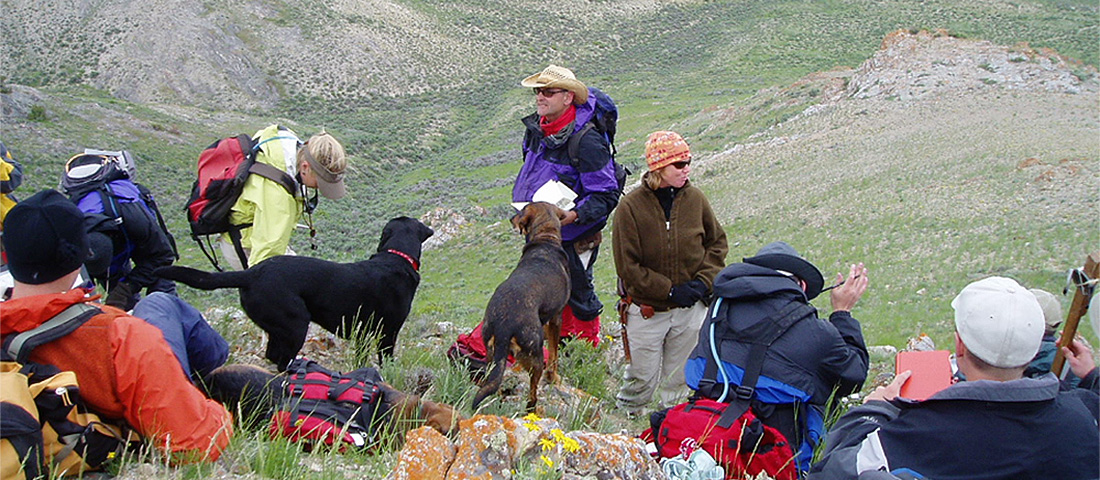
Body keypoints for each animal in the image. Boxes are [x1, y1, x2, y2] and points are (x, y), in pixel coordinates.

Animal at [470, 202, 572, 411]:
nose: (511, 218)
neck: (546, 239)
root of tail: (504, 325)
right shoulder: (556, 318)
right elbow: (554, 354)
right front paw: (554, 377)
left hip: (491, 355)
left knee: (493, 383)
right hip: (535, 353)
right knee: (532, 394)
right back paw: (533, 409)